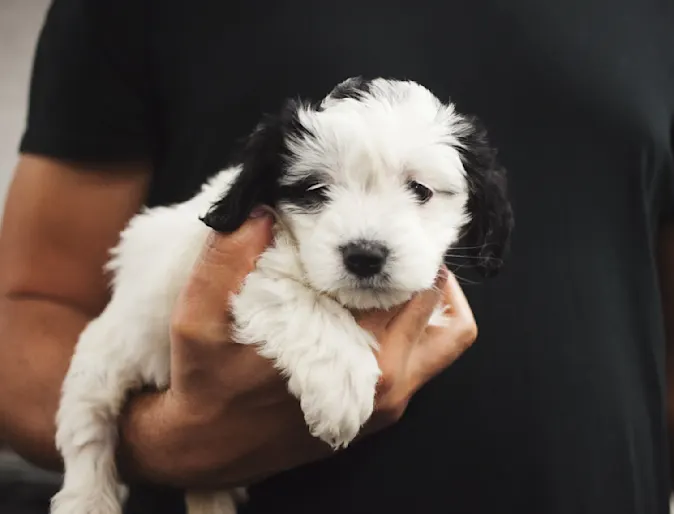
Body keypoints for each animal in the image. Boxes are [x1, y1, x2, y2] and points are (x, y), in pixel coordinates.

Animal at [51, 76, 510, 512]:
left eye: (421, 190)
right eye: (314, 190)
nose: (364, 256)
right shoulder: (245, 265)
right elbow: (289, 288)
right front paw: (341, 386)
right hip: (109, 354)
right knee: (87, 425)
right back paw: (87, 500)